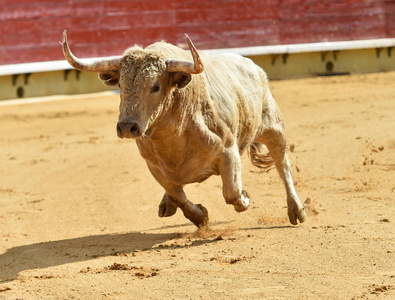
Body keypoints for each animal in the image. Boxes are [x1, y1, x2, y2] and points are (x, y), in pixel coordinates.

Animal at [62, 30, 308, 227]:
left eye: (156, 86)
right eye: (120, 85)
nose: (126, 127)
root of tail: (253, 66)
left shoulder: (228, 150)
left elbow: (232, 193)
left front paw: (245, 198)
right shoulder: (154, 166)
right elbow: (178, 196)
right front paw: (200, 216)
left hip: (273, 126)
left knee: (282, 164)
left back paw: (296, 210)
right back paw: (167, 204)